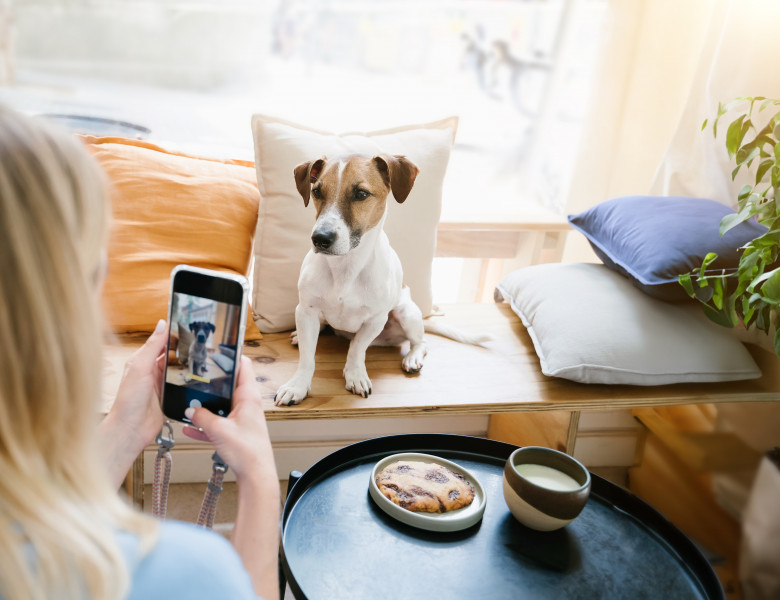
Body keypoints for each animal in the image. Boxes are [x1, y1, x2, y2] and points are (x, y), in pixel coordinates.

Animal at [276, 155, 488, 408]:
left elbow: (357, 349)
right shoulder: (305, 311)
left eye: (361, 194)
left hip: (407, 313)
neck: (346, 266)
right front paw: (297, 386)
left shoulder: (375, 320)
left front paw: (355, 374)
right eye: (316, 191)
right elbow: (307, 358)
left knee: (421, 342)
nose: (320, 239)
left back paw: (413, 358)